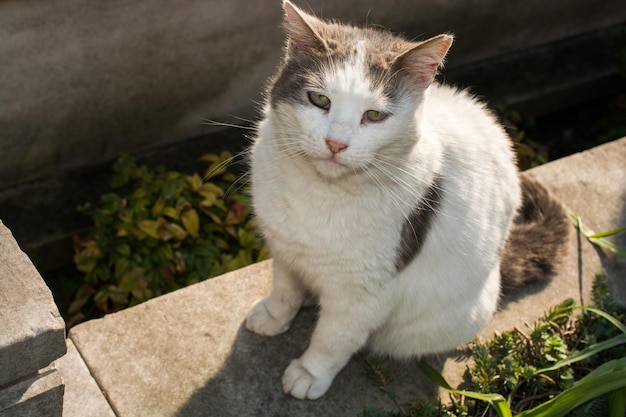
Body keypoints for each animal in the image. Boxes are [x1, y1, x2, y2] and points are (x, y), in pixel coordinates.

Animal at [243, 0, 564, 400]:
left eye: (374, 115)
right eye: (319, 100)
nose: (336, 143)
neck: (318, 191)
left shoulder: (365, 293)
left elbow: (334, 337)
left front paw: (310, 372)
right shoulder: (284, 248)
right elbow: (285, 289)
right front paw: (275, 316)